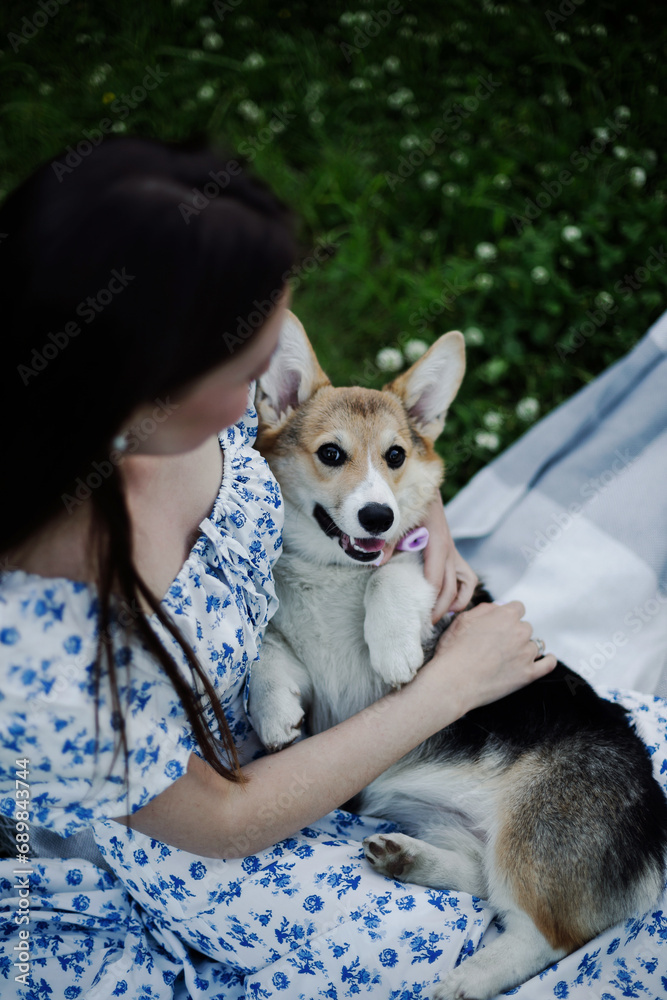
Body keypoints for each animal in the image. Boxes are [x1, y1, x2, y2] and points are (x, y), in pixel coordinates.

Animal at [247, 310, 667, 1000]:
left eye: (395, 456)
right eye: (331, 453)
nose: (378, 515)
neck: (332, 573)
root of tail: (654, 827)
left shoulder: (441, 595)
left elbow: (396, 572)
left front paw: (391, 648)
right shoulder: (295, 650)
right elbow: (269, 651)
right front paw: (274, 715)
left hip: (533, 832)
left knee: (544, 937)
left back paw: (466, 980)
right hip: (448, 820)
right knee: (482, 884)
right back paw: (407, 859)